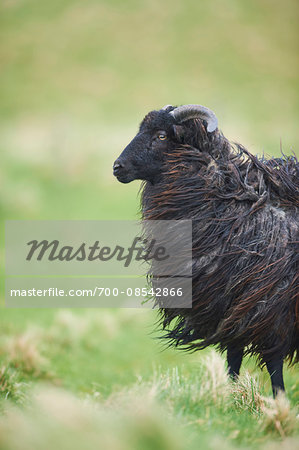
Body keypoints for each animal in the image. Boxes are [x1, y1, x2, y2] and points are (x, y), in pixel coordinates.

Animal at [113, 103, 298, 396]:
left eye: (162, 136)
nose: (117, 167)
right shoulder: (232, 309)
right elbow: (234, 359)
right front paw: (231, 398)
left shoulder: (272, 310)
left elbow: (274, 366)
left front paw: (278, 401)